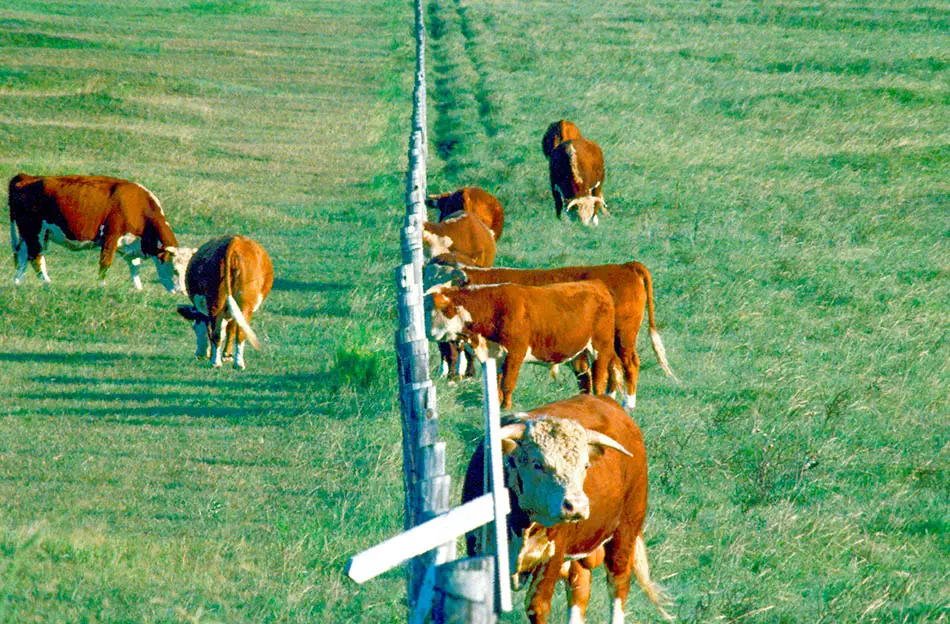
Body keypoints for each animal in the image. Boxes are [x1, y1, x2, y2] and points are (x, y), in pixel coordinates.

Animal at [8, 172, 192, 292]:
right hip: (34, 231)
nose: (182, 292)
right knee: (36, 257)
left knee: (23, 255)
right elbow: (105, 262)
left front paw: (138, 288)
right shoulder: (111, 236)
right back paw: (47, 282)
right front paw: (101, 286)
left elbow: (135, 267)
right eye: (175, 270)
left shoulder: (132, 244)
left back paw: (18, 282)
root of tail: (27, 177)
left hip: (28, 233)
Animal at [177, 234, 274, 370]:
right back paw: (233, 362)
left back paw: (218, 362)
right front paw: (226, 355)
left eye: (195, 327)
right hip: (241, 305)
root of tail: (235, 242)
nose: (199, 355)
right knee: (237, 332)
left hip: (218, 303)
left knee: (220, 333)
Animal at [424, 282, 616, 410]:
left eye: (435, 309)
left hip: (601, 348)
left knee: (599, 379)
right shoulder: (495, 355)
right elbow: (496, 383)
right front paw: (497, 404)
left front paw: (506, 407)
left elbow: (507, 383)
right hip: (578, 353)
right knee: (584, 378)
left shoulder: (515, 352)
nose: (426, 332)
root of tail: (597, 285)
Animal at [462, 398, 672, 620]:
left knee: (618, 584)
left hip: (626, 530)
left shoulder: (553, 555)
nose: (577, 505)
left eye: (586, 465)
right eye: (537, 464)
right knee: (580, 587)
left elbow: (537, 606)